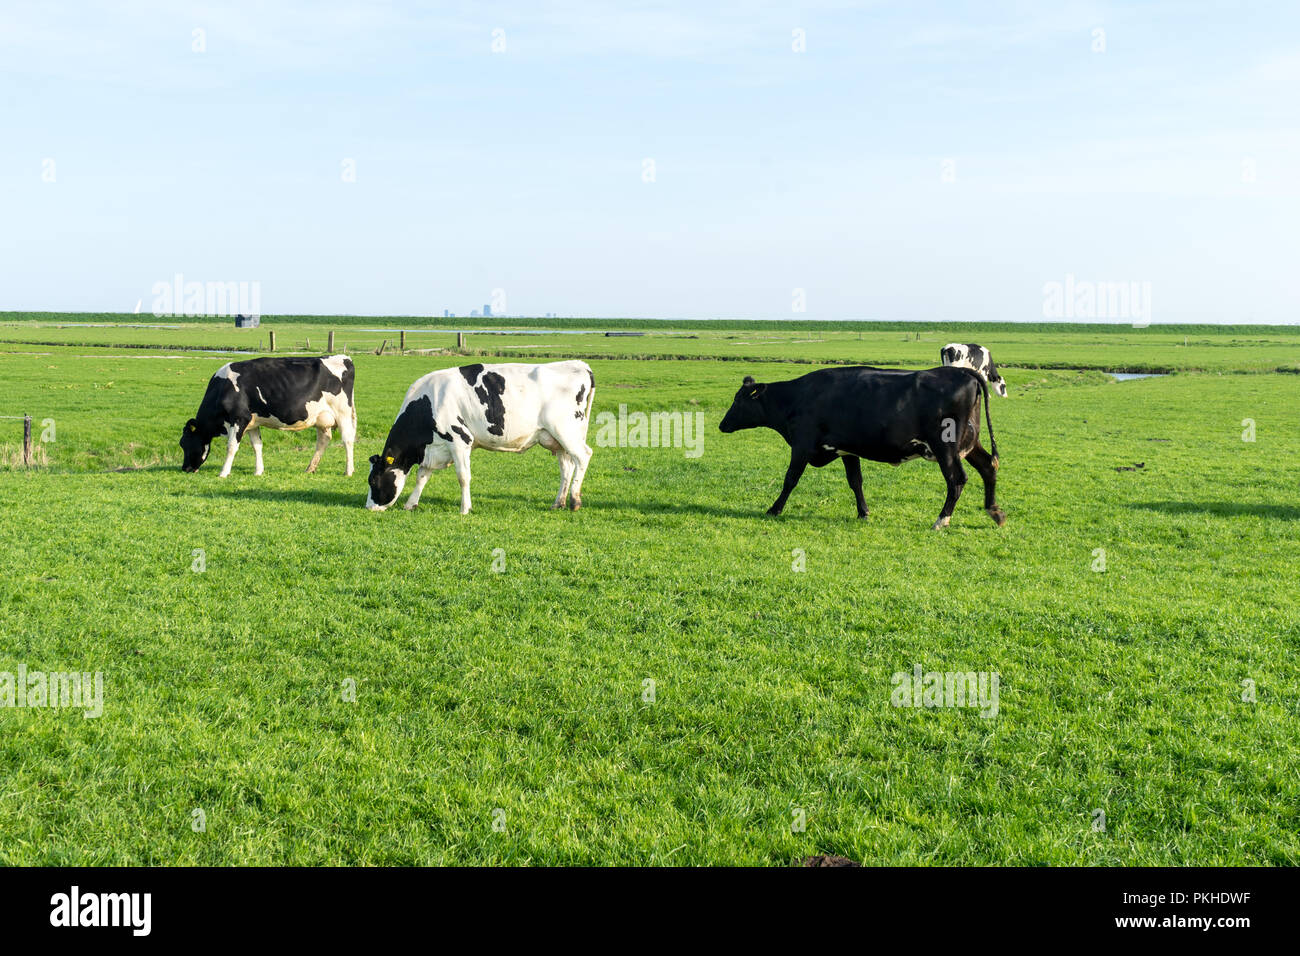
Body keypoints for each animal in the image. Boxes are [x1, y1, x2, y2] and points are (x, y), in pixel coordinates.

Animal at [180, 356, 358, 478]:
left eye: (186, 443)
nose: (185, 468)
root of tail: (344, 358)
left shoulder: (239, 418)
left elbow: (231, 446)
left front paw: (223, 472)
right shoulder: (252, 422)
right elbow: (257, 446)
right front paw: (258, 471)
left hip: (343, 413)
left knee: (347, 440)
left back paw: (348, 471)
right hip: (322, 418)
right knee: (323, 440)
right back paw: (310, 468)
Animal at [364, 358, 592, 512]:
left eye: (373, 481)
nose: (368, 507)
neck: (428, 403)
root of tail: (580, 365)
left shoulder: (460, 440)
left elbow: (463, 477)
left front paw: (465, 508)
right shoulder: (435, 447)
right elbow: (422, 475)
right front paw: (411, 503)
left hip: (565, 430)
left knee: (583, 456)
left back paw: (574, 501)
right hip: (556, 439)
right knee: (566, 467)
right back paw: (558, 502)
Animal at [717, 366, 998, 530]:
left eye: (738, 400)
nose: (722, 425)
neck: (798, 397)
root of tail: (963, 373)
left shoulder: (802, 445)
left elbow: (790, 479)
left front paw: (774, 509)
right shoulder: (847, 450)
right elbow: (856, 481)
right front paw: (863, 512)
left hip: (945, 447)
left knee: (957, 479)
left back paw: (941, 520)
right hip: (970, 443)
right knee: (988, 467)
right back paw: (994, 512)